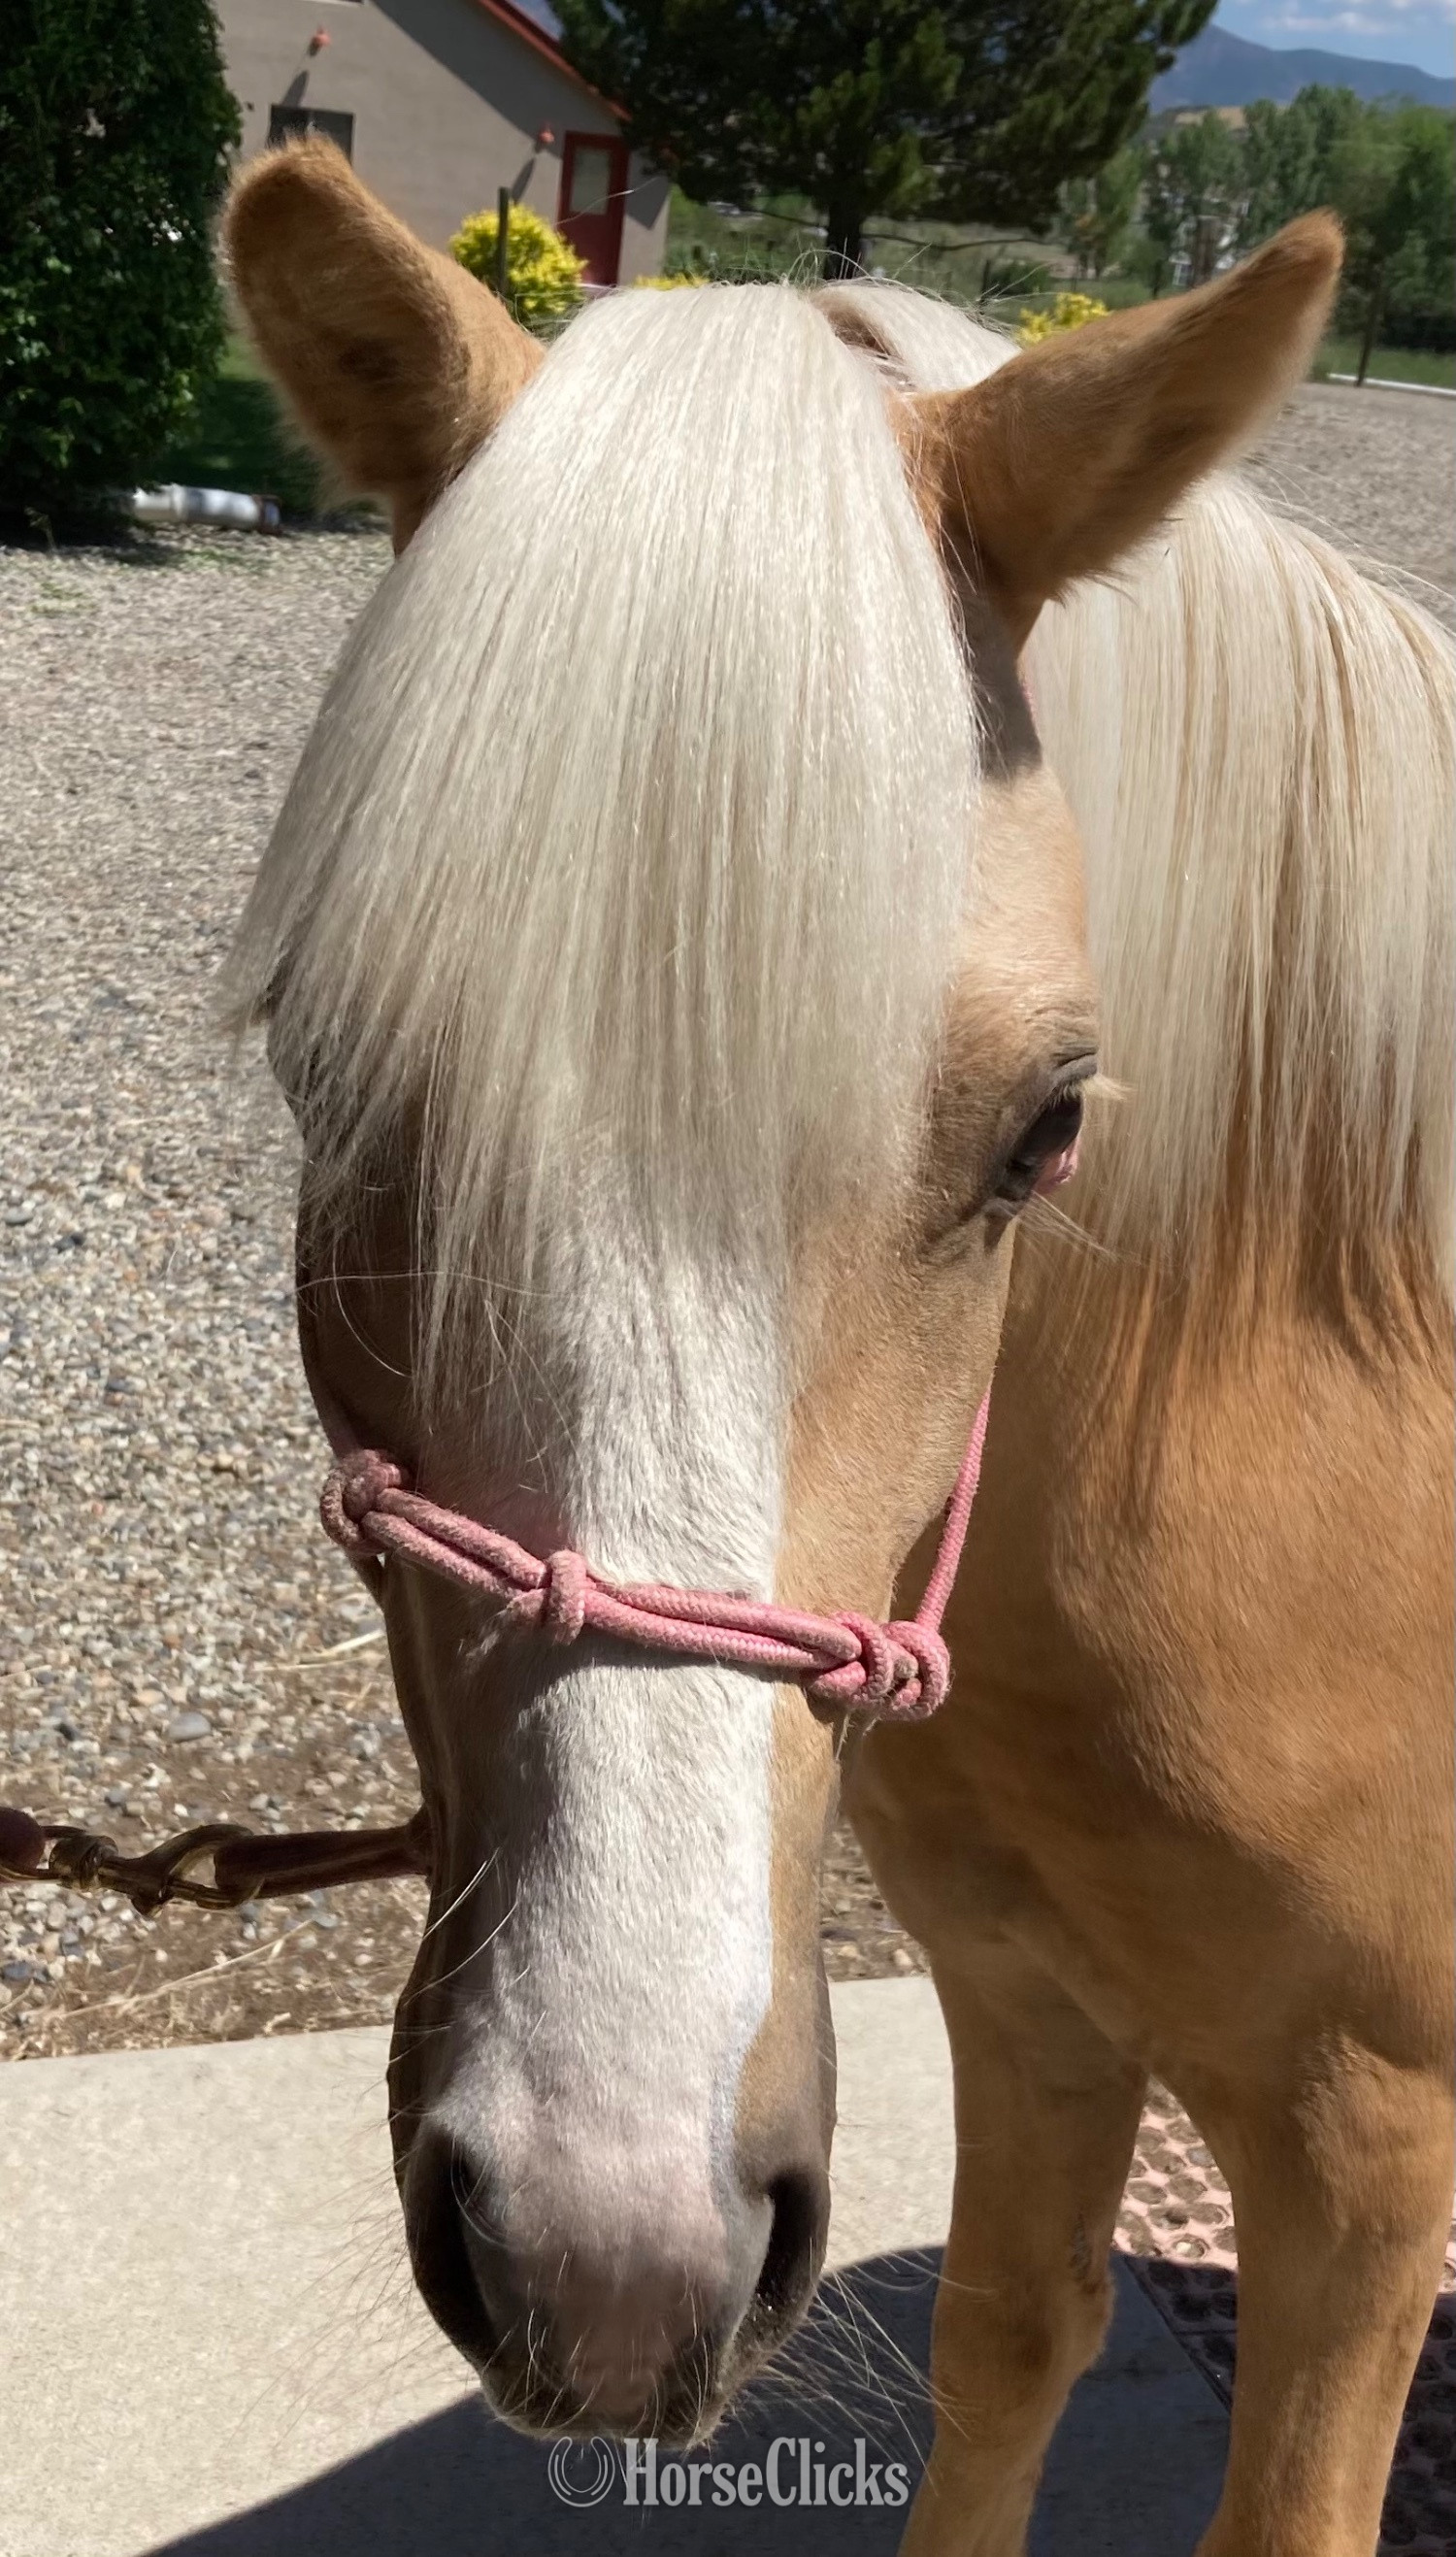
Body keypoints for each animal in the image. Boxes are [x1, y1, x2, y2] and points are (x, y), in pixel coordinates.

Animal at [221, 140, 1345, 2476]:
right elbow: (1007, 2341)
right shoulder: (1030, 1994)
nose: (609, 2257)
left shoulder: (1366, 2161)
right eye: (327, 1068)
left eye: (1049, 1128)